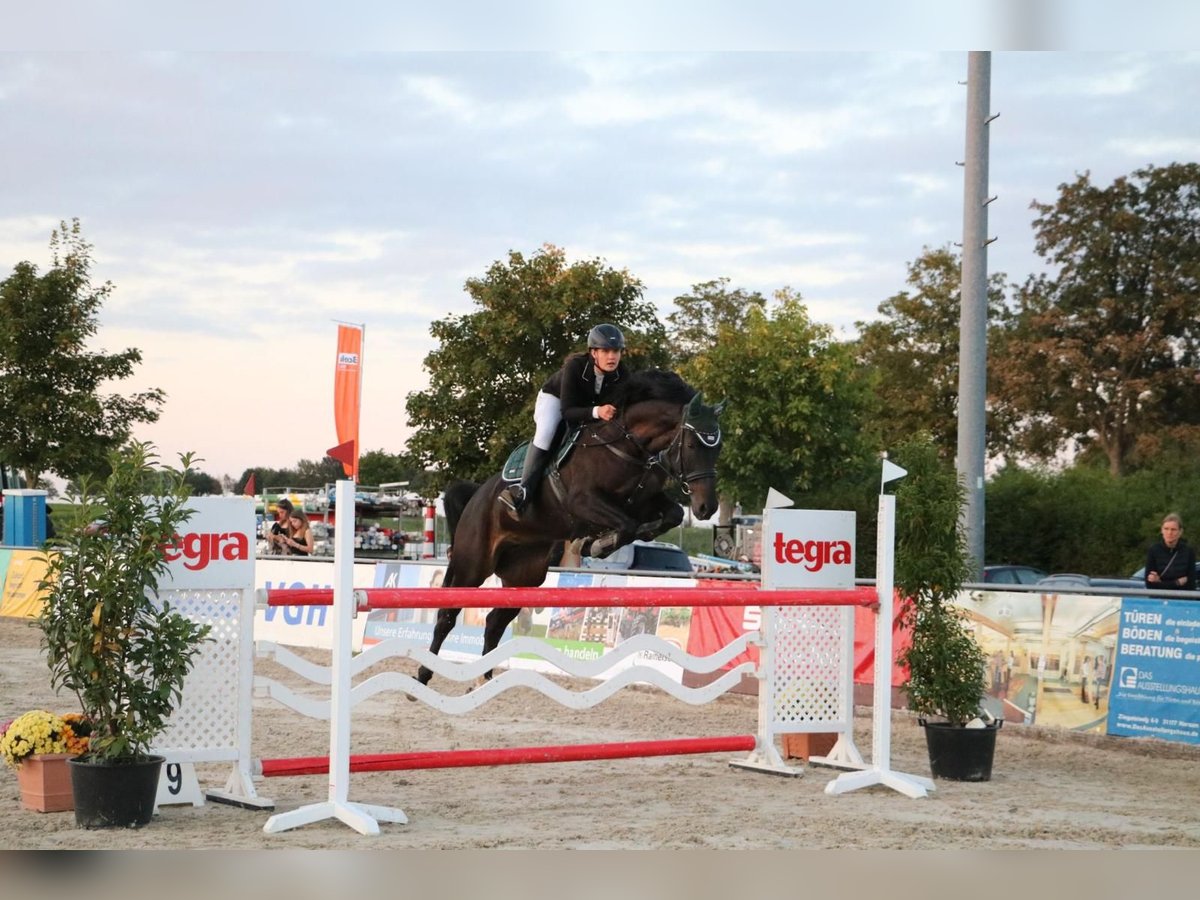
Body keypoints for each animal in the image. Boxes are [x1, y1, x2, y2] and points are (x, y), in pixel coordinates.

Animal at [417, 369, 724, 686]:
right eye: (692, 445)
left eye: (718, 449)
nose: (707, 508)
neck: (627, 447)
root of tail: (476, 497)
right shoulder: (583, 501)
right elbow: (626, 525)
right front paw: (597, 544)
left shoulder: (642, 502)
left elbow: (669, 515)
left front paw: (617, 538)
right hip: (473, 564)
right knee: (447, 615)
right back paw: (423, 677)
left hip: (523, 576)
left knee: (494, 622)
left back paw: (485, 680)